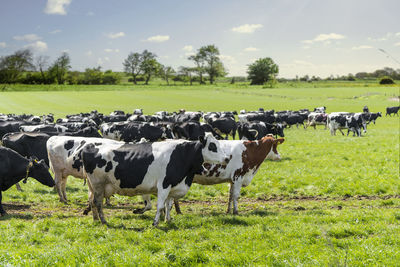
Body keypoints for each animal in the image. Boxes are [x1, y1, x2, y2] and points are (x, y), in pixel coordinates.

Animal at [81, 134, 227, 226]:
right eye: (212, 146)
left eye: (219, 144)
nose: (226, 158)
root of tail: (90, 146)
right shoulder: (164, 185)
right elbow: (160, 205)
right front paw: (155, 223)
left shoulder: (172, 186)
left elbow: (168, 205)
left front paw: (168, 220)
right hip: (98, 184)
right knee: (98, 203)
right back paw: (103, 221)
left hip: (93, 186)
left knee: (92, 201)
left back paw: (95, 220)